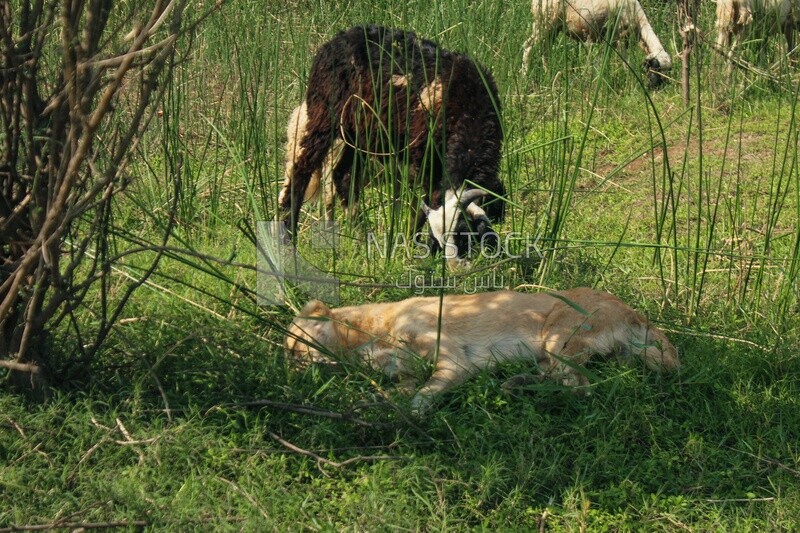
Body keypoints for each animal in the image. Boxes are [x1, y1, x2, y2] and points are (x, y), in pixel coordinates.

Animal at [284, 286, 680, 412]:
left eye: (294, 349)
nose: (291, 377)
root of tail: (637, 314)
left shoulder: (453, 364)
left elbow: (419, 399)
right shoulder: (406, 376)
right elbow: (393, 392)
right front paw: (362, 403)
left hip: (558, 338)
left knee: (579, 389)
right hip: (551, 353)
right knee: (564, 382)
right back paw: (515, 384)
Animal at [520, 0, 672, 87]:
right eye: (655, 69)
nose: (657, 88)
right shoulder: (619, 37)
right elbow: (626, 62)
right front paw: (631, 80)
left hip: (553, 28)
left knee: (545, 50)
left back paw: (548, 73)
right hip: (544, 22)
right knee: (528, 46)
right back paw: (525, 76)